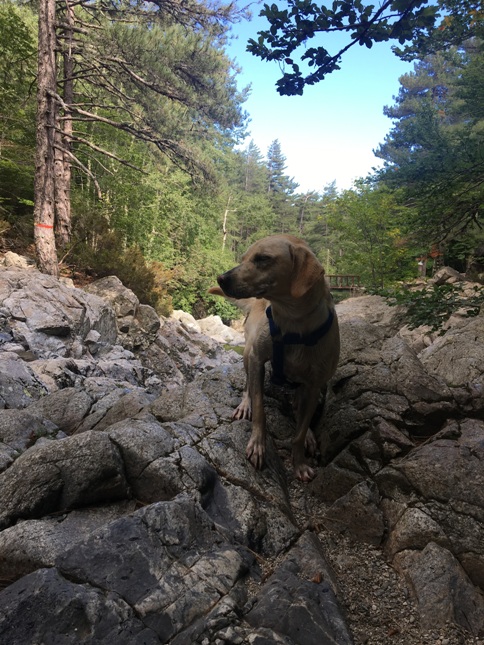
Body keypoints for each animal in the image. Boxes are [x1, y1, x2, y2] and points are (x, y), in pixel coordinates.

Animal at [210, 234, 340, 481]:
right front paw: (258, 445)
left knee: (299, 409)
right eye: (244, 258)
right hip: (248, 354)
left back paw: (309, 435)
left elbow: (299, 432)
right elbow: (260, 408)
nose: (221, 278)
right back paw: (245, 404)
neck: (293, 324)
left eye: (263, 259)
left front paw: (299, 463)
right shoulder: (258, 360)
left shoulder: (314, 385)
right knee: (248, 386)